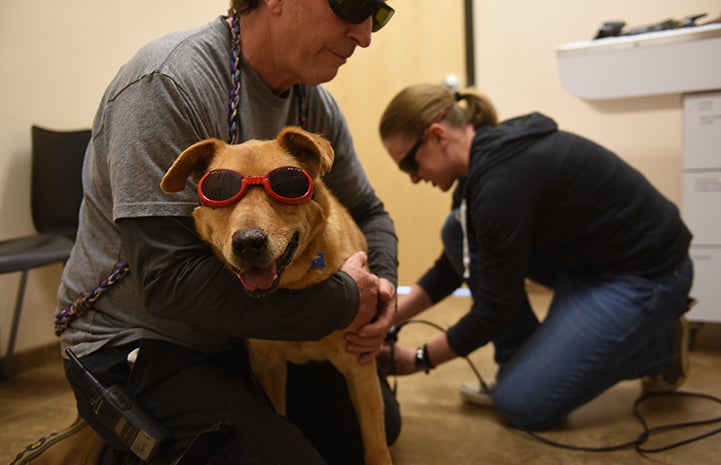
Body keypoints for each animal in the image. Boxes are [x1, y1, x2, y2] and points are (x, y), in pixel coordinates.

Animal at [161, 125, 390, 464]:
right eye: (218, 190)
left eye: (288, 186)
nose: (248, 242)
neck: (292, 287)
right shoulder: (267, 367)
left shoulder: (359, 368)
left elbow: (376, 445)